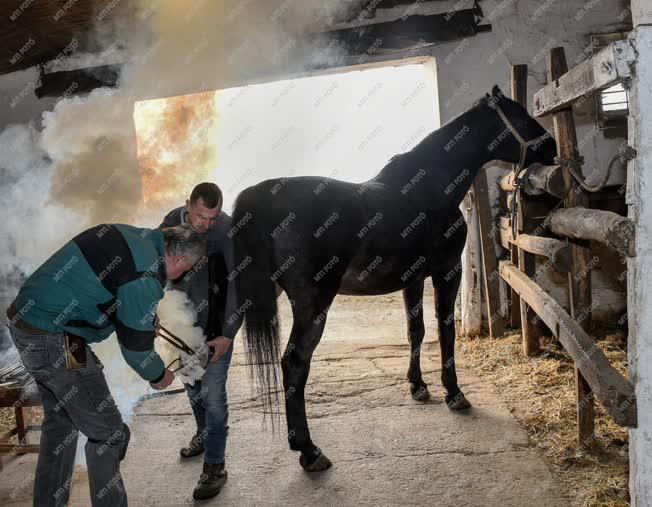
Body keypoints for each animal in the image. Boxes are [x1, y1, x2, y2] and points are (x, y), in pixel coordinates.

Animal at [229, 86, 556, 472]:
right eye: (519, 115)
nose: (551, 147)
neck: (429, 188)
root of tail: (261, 195)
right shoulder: (448, 272)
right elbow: (445, 331)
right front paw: (454, 393)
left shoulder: (413, 280)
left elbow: (416, 331)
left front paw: (418, 387)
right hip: (313, 302)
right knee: (294, 362)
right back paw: (309, 451)